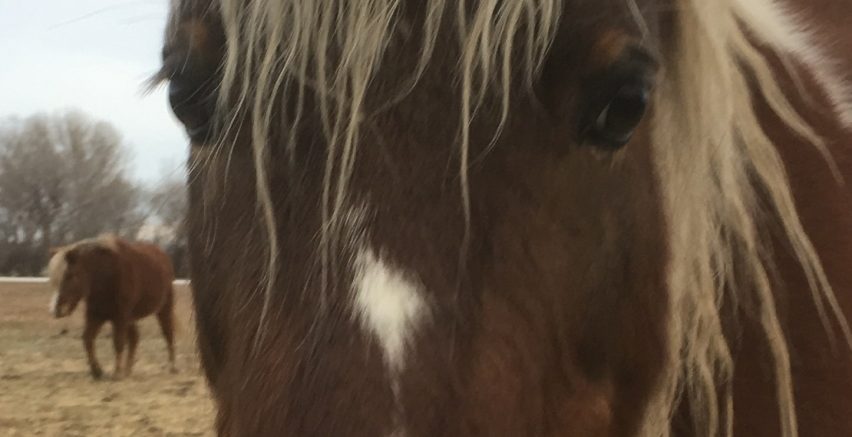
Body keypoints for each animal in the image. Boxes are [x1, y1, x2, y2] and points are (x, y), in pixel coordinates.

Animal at [48, 235, 177, 379]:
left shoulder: (120, 317)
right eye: (52, 277)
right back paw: (128, 370)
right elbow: (87, 339)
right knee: (135, 338)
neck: (105, 276)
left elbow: (118, 343)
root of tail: (164, 256)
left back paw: (172, 367)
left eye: (70, 275)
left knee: (168, 334)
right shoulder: (96, 315)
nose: (56, 310)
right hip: (131, 318)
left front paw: (116, 373)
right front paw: (97, 371)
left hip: (164, 309)